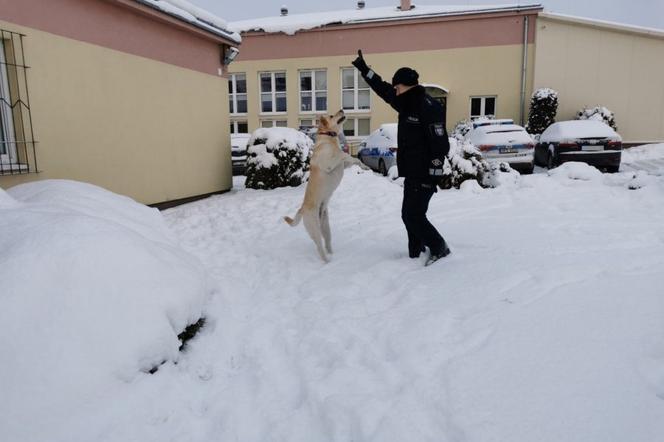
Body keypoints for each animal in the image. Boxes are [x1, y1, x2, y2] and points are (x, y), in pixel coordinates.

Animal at [284, 110, 370, 262]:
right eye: (331, 116)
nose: (342, 110)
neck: (329, 138)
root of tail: (302, 209)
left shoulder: (342, 165)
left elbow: (353, 160)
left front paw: (364, 166)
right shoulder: (329, 162)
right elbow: (343, 154)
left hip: (326, 227)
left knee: (327, 243)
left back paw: (333, 256)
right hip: (315, 229)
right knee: (320, 247)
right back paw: (327, 261)